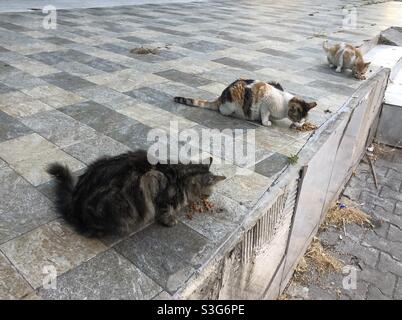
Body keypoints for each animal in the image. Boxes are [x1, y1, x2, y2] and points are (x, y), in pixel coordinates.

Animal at [46, 149, 226, 236]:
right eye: (208, 194)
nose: (207, 199)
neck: (180, 175)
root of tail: (74, 203)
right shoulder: (155, 181)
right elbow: (165, 209)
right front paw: (170, 220)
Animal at [174, 79, 316, 128]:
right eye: (299, 119)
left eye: (304, 120)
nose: (301, 125)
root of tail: (221, 97)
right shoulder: (265, 104)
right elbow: (265, 115)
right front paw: (266, 122)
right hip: (231, 103)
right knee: (222, 110)